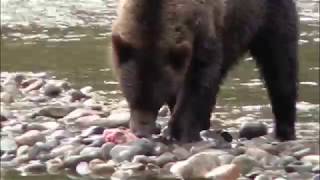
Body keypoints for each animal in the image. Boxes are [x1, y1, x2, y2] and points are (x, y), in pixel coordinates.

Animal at [111, 0, 298, 143]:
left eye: (156, 100)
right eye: (132, 98)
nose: (140, 132)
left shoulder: (206, 33)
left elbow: (198, 80)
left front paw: (179, 130)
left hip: (264, 17)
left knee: (280, 66)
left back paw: (284, 131)